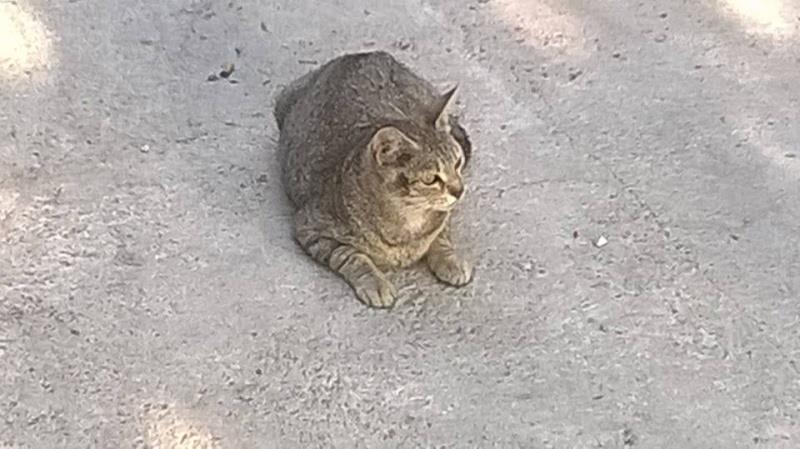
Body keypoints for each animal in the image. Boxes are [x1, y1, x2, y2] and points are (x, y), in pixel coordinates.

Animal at [276, 50, 472, 308]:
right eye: (431, 179)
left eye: (457, 163)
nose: (459, 190)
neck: (407, 221)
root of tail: (362, 54)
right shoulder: (311, 227)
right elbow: (352, 256)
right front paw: (374, 283)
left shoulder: (444, 216)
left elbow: (442, 236)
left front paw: (451, 260)